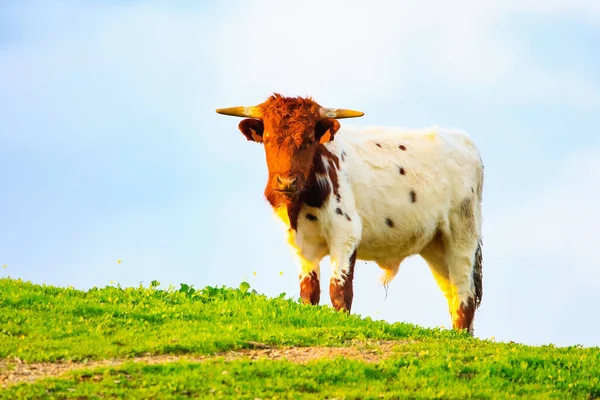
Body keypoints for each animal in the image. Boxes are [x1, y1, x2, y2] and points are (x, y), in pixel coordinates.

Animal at [216, 94, 482, 334]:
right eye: (268, 139)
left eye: (309, 139)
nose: (287, 181)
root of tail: (465, 141)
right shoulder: (300, 244)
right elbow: (309, 292)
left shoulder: (345, 233)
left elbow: (340, 291)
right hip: (435, 246)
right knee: (451, 293)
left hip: (462, 235)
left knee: (464, 294)